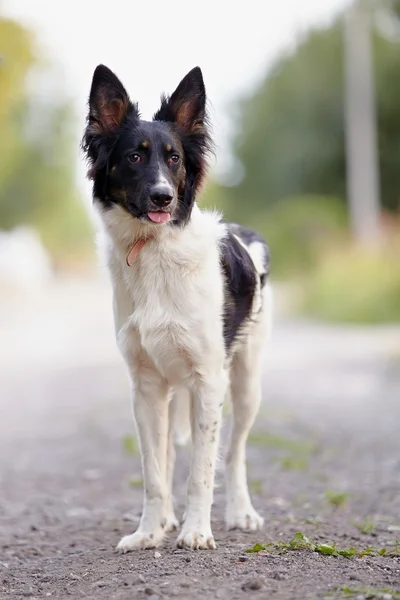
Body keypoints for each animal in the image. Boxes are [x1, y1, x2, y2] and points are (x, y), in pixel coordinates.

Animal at [83, 64, 272, 548]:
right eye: (134, 157)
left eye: (174, 159)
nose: (162, 197)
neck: (154, 250)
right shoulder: (146, 386)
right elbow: (154, 473)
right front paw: (149, 533)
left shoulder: (208, 380)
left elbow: (202, 470)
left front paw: (197, 532)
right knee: (168, 457)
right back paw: (167, 520)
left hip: (246, 383)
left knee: (235, 453)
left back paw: (241, 512)